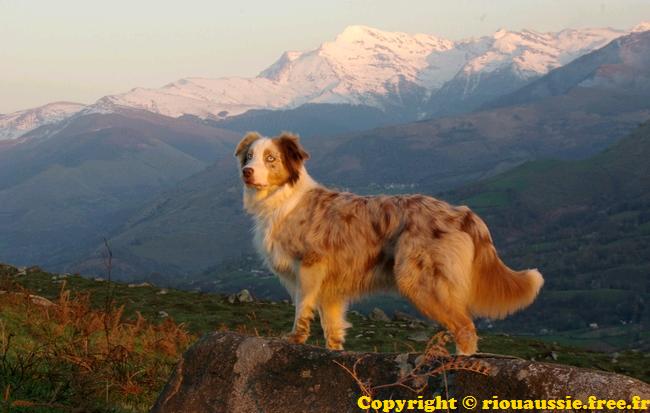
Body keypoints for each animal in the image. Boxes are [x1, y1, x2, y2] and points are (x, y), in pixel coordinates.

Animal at [233, 132, 540, 354]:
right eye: (249, 156)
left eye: (270, 158)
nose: (246, 171)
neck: (282, 199)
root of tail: (462, 212)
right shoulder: (331, 288)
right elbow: (332, 326)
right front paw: (334, 351)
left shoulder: (309, 267)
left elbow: (302, 310)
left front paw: (295, 339)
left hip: (419, 280)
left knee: (465, 327)